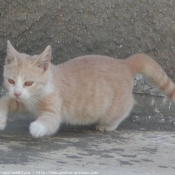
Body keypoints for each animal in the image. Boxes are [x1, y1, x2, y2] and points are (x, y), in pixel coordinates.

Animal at [0, 40, 175, 137]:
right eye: (11, 81)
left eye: (29, 83)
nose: (17, 92)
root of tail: (124, 63)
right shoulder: (23, 102)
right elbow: (5, 100)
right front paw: (1, 119)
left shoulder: (53, 110)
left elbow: (49, 120)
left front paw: (36, 127)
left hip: (115, 107)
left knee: (127, 106)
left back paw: (109, 125)